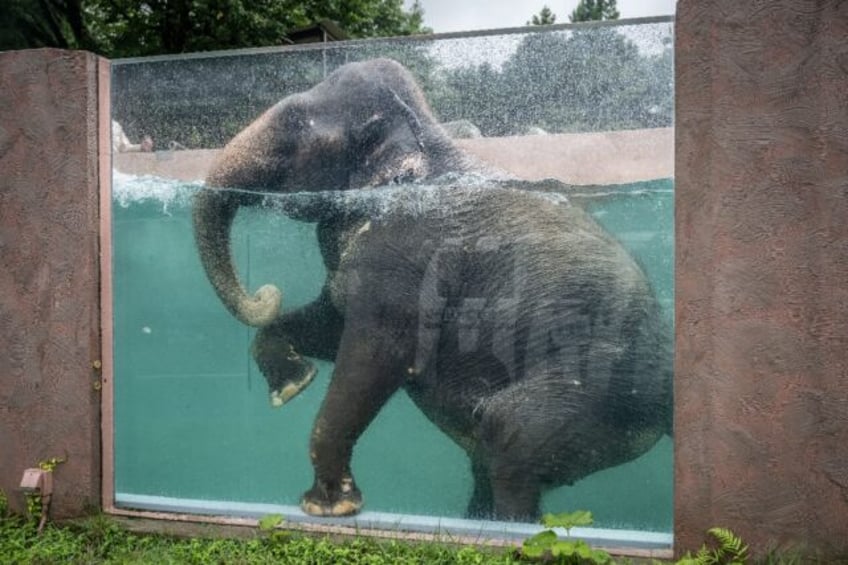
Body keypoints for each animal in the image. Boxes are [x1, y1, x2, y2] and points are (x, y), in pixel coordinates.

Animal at [190, 57, 668, 520]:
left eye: (292, 122)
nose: (265, 292)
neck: (428, 136)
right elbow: (328, 325)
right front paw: (293, 386)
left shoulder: (405, 259)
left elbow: (375, 356)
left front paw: (328, 508)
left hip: (594, 388)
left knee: (507, 434)